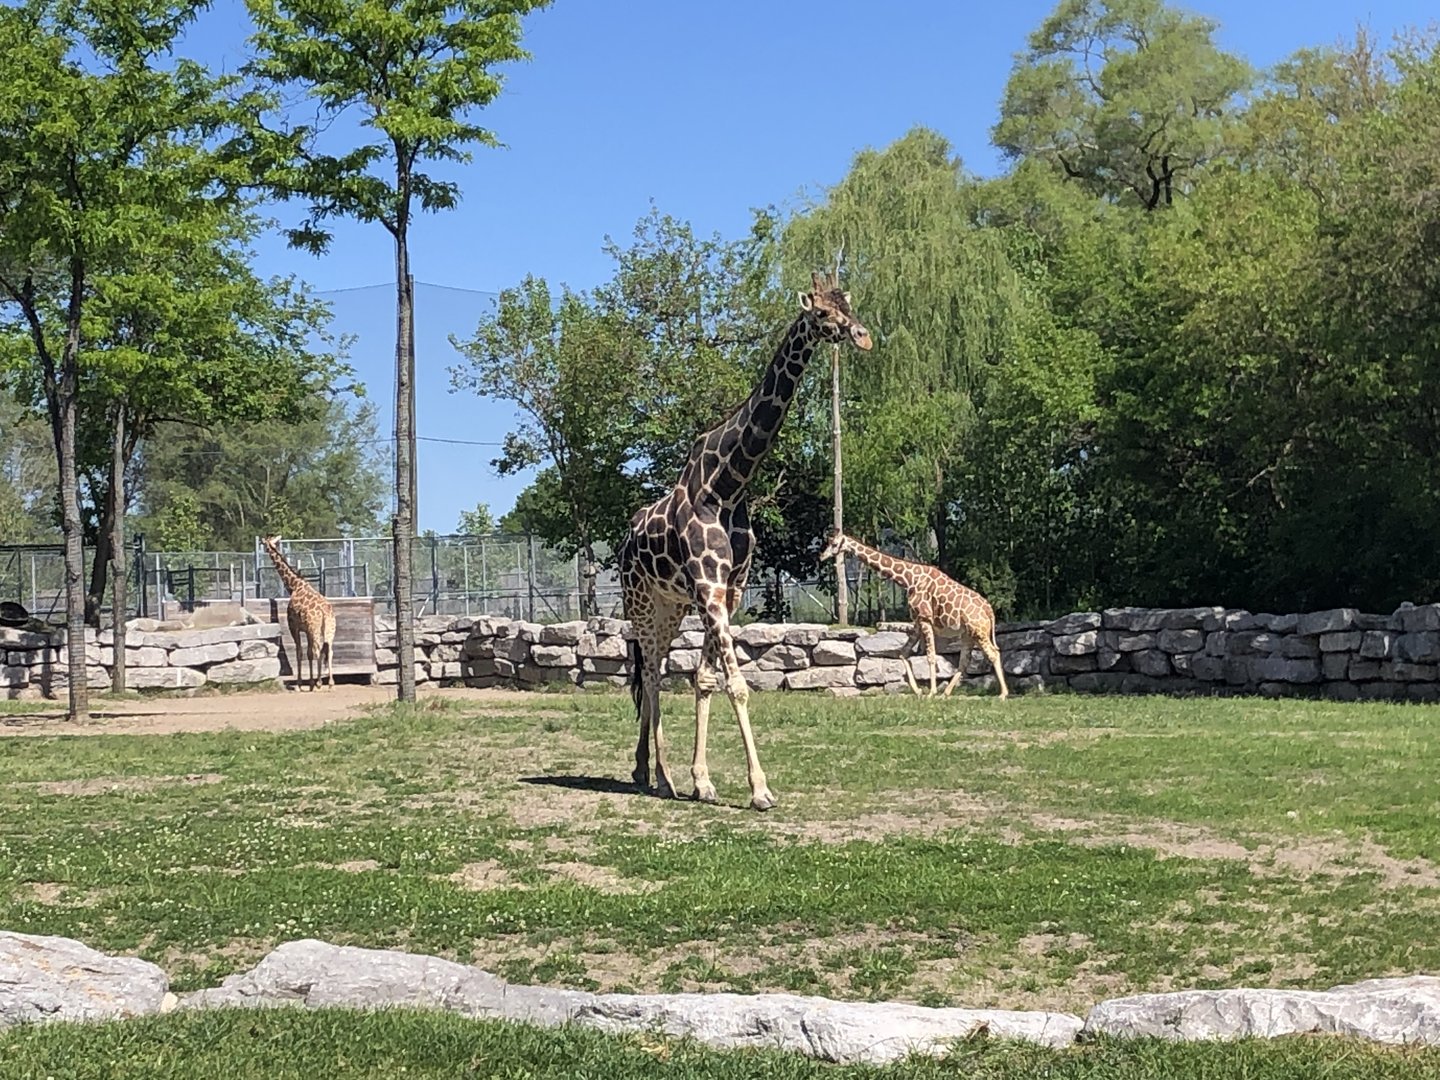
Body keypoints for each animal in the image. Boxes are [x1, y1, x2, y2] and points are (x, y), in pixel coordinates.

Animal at [261, 535, 336, 692]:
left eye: (265, 543)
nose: (264, 546)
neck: (295, 585)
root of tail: (325, 612)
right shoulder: (306, 630)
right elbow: (308, 653)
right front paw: (310, 682)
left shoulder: (294, 627)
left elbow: (300, 653)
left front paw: (302, 684)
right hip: (330, 630)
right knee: (329, 651)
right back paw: (331, 683)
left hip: (315, 629)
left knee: (318, 650)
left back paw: (319, 683)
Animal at [619, 270, 872, 811]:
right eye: (822, 313)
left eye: (847, 304)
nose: (861, 335)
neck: (728, 486)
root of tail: (626, 540)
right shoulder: (708, 588)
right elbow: (736, 685)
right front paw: (760, 790)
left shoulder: (727, 590)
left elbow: (706, 678)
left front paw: (705, 781)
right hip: (641, 602)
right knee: (649, 674)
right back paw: (660, 777)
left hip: (672, 606)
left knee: (656, 673)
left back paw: (646, 772)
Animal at [820, 530, 1009, 700]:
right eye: (829, 543)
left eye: (834, 544)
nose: (822, 556)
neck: (909, 579)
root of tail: (989, 610)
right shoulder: (917, 621)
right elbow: (902, 653)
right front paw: (918, 691)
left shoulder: (925, 619)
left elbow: (930, 656)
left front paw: (931, 692)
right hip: (968, 633)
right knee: (964, 661)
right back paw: (946, 693)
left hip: (978, 631)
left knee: (993, 654)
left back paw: (1002, 694)